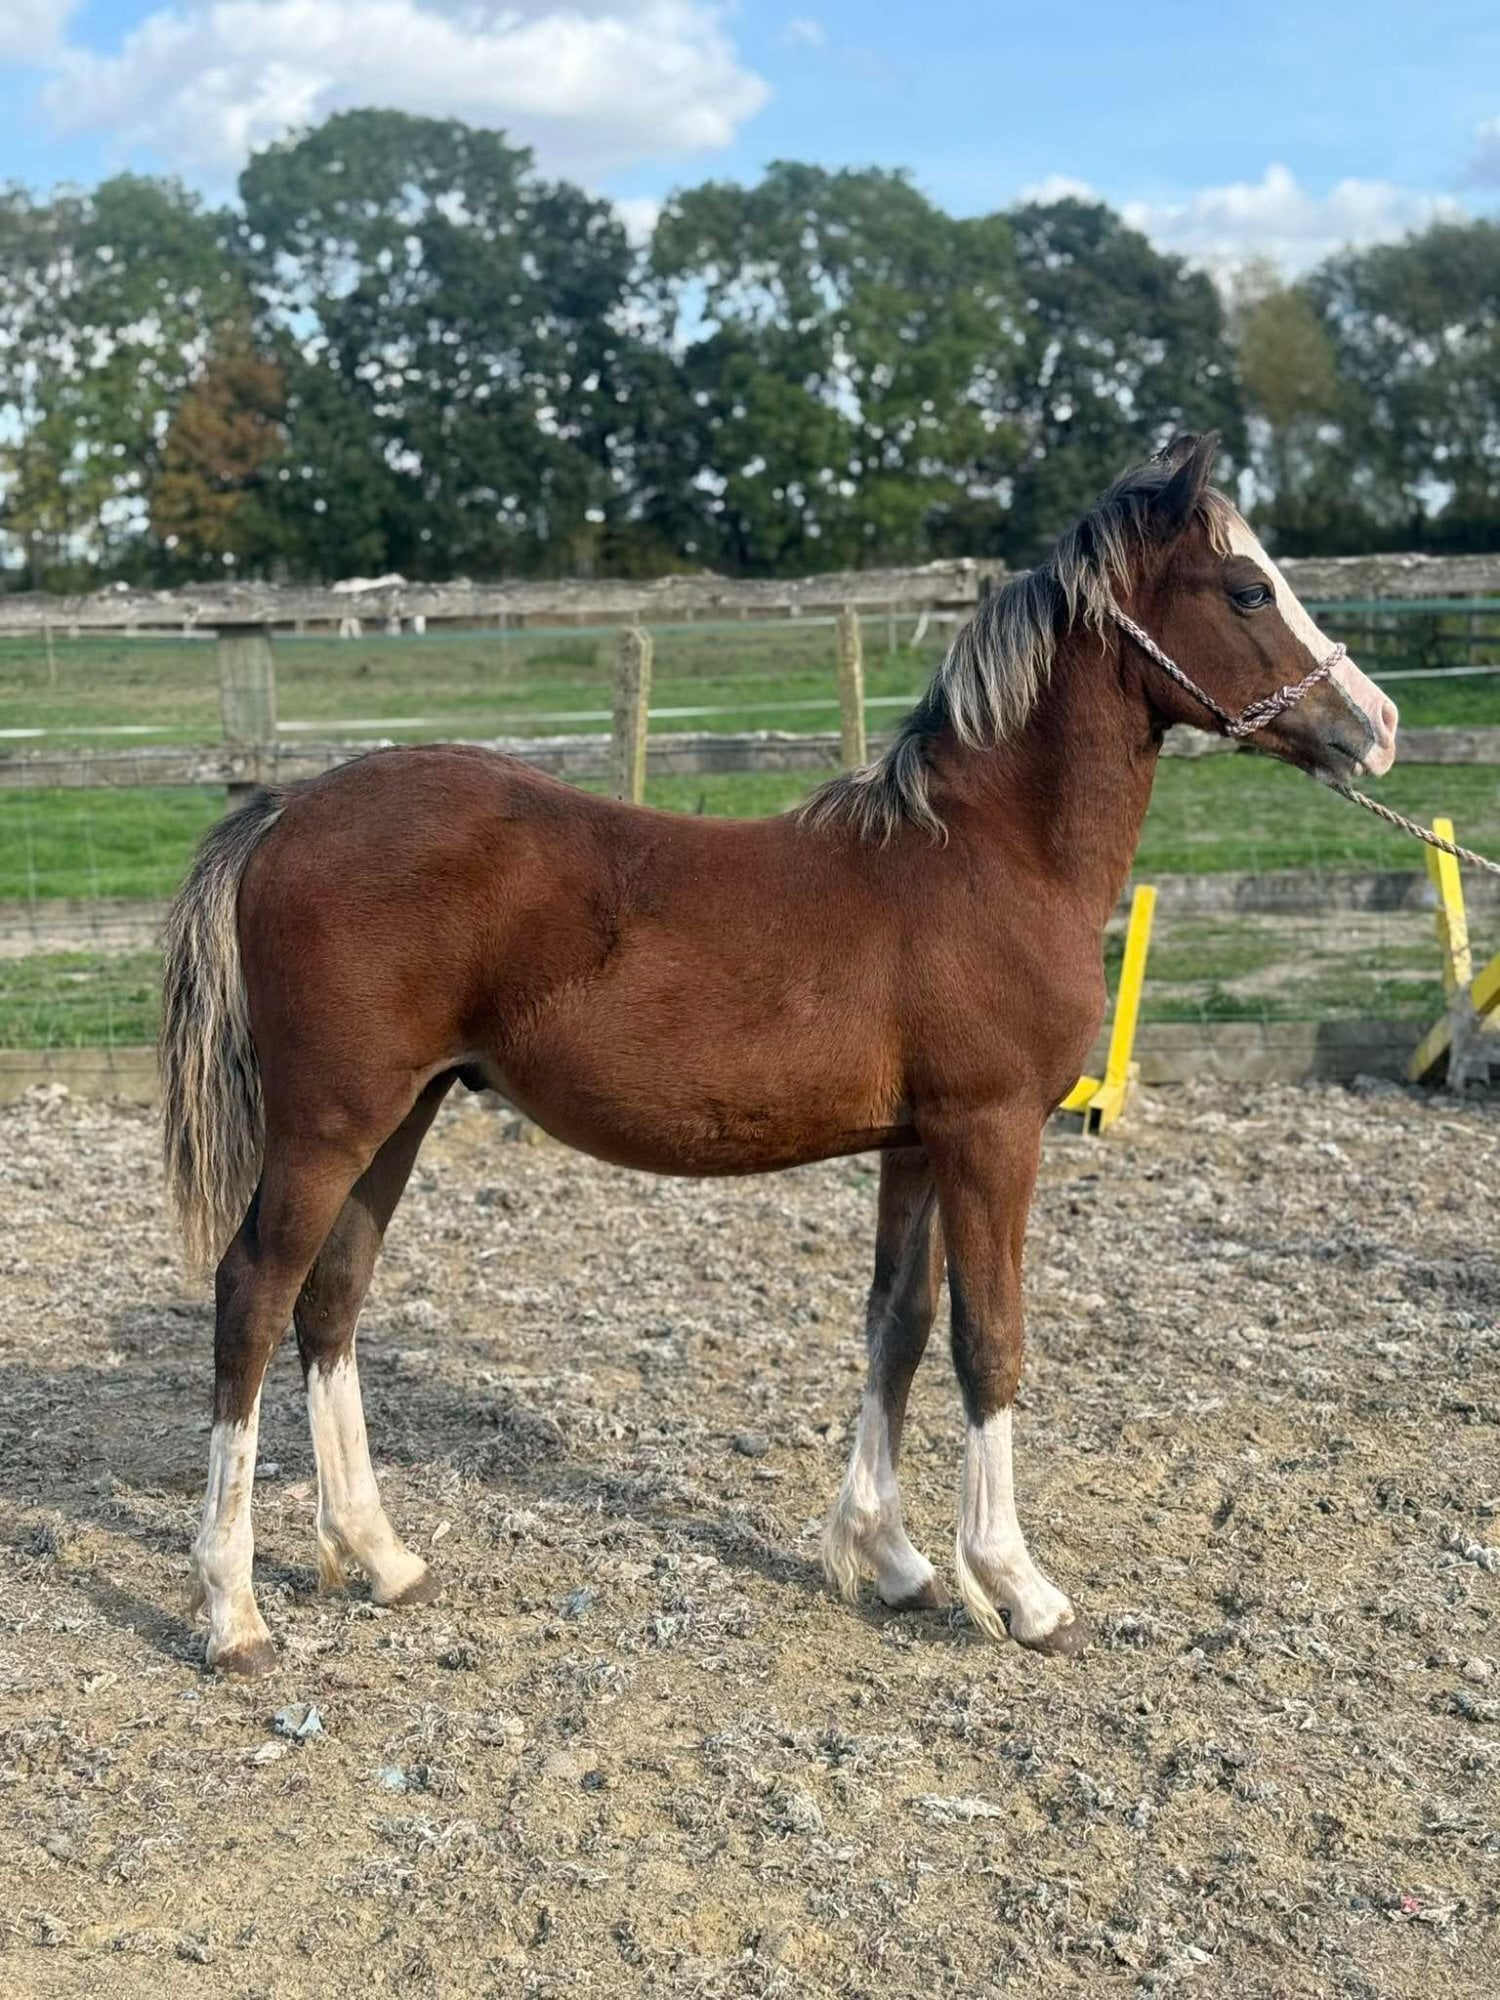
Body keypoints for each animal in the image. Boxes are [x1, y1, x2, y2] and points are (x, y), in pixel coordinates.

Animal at [159, 432, 1399, 1677]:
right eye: (1247, 588)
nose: (1376, 722)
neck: (988, 856)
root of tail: (284, 809)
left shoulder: (919, 1142)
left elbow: (898, 1323)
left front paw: (889, 1557)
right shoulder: (993, 1129)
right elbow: (988, 1339)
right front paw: (1017, 1584)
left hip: (400, 1112)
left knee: (332, 1299)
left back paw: (380, 1556)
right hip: (330, 1120)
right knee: (254, 1291)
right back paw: (233, 1609)